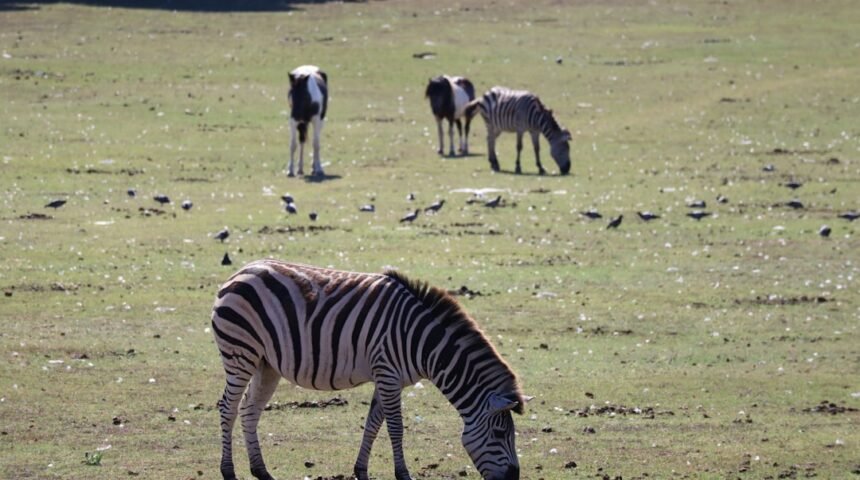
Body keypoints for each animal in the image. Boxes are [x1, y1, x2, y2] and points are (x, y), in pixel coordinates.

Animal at [211, 259, 525, 480]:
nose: (514, 477)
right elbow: (395, 427)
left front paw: (361, 470)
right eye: (500, 434)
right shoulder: (387, 372)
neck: (422, 341)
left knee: (250, 410)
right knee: (228, 407)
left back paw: (262, 471)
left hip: (266, 363)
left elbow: (373, 424)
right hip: (240, 352)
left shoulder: (388, 377)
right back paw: (228, 471)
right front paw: (403, 474)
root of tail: (240, 271)